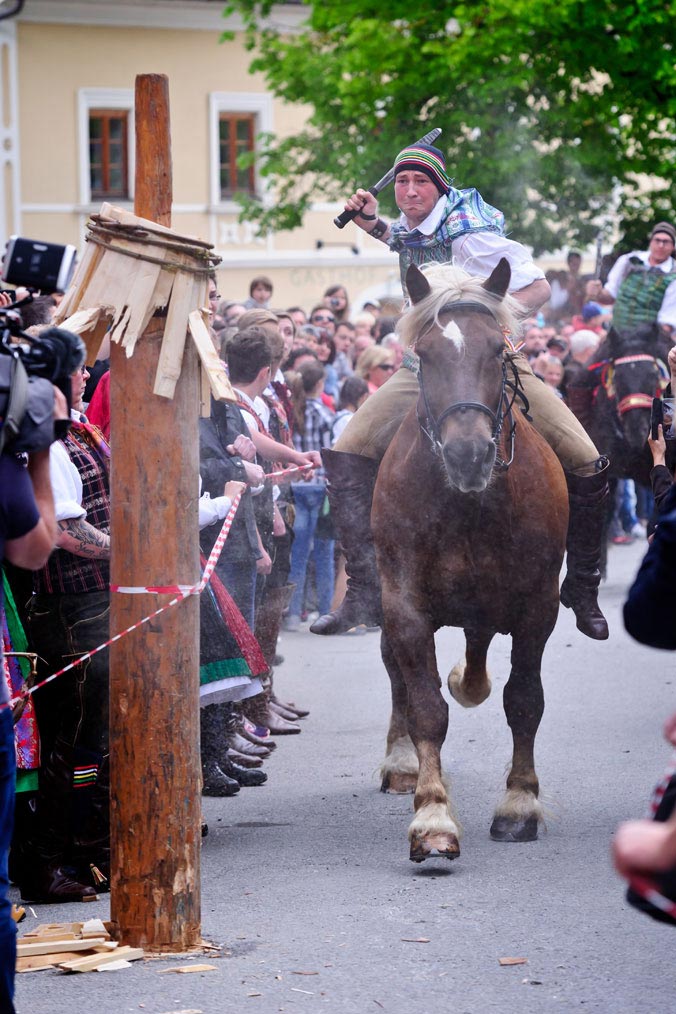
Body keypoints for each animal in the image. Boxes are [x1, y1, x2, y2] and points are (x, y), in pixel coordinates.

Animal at [372, 261, 567, 863]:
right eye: (426, 353)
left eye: (496, 351)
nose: (469, 454)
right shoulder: (404, 604)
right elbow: (426, 707)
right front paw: (433, 818)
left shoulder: (537, 605)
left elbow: (524, 700)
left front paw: (519, 805)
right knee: (398, 674)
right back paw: (401, 762)